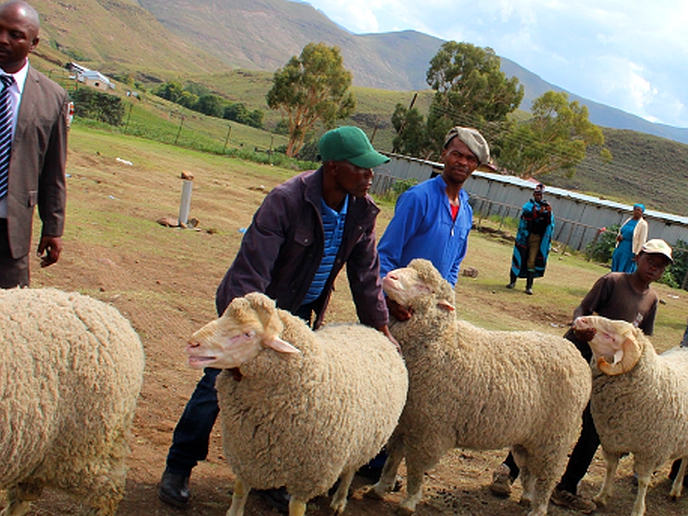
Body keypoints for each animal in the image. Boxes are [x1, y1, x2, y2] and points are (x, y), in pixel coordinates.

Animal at [184, 292, 408, 512]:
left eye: (248, 334)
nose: (192, 343)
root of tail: (373, 331)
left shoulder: (308, 476)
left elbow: (296, 508)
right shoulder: (246, 453)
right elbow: (240, 491)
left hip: (364, 441)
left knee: (350, 470)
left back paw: (339, 500)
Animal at [370, 260, 592, 516]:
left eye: (425, 287)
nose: (390, 277)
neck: (441, 343)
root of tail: (576, 355)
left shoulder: (427, 429)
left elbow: (415, 469)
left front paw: (409, 501)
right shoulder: (405, 421)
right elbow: (393, 457)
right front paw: (381, 487)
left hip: (555, 437)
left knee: (546, 476)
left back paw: (538, 508)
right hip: (528, 437)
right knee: (528, 469)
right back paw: (527, 496)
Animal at [572, 314, 688, 516]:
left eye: (611, 337)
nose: (582, 319)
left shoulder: (650, 451)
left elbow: (643, 481)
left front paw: (638, 509)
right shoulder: (612, 440)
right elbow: (611, 467)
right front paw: (602, 496)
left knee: (684, 462)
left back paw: (676, 489)